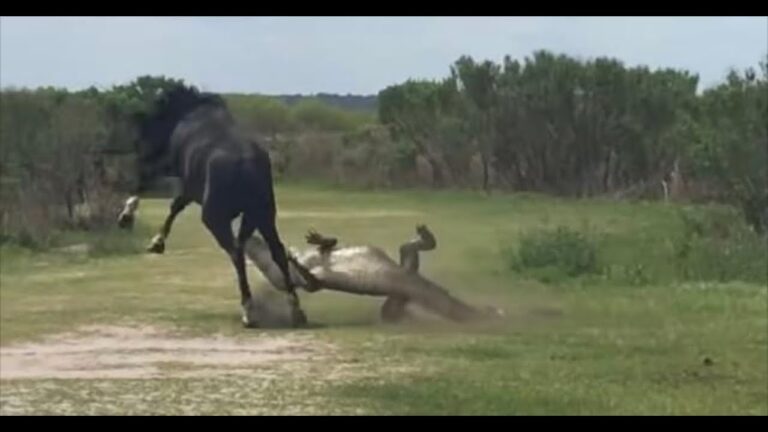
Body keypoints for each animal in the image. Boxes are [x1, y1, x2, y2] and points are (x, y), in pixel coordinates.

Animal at [133, 85, 306, 328]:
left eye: (154, 116)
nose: (141, 148)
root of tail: (246, 162)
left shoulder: (189, 188)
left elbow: (174, 207)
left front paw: (156, 242)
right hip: (263, 215)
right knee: (277, 251)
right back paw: (295, 309)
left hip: (215, 218)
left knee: (236, 252)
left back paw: (249, 310)